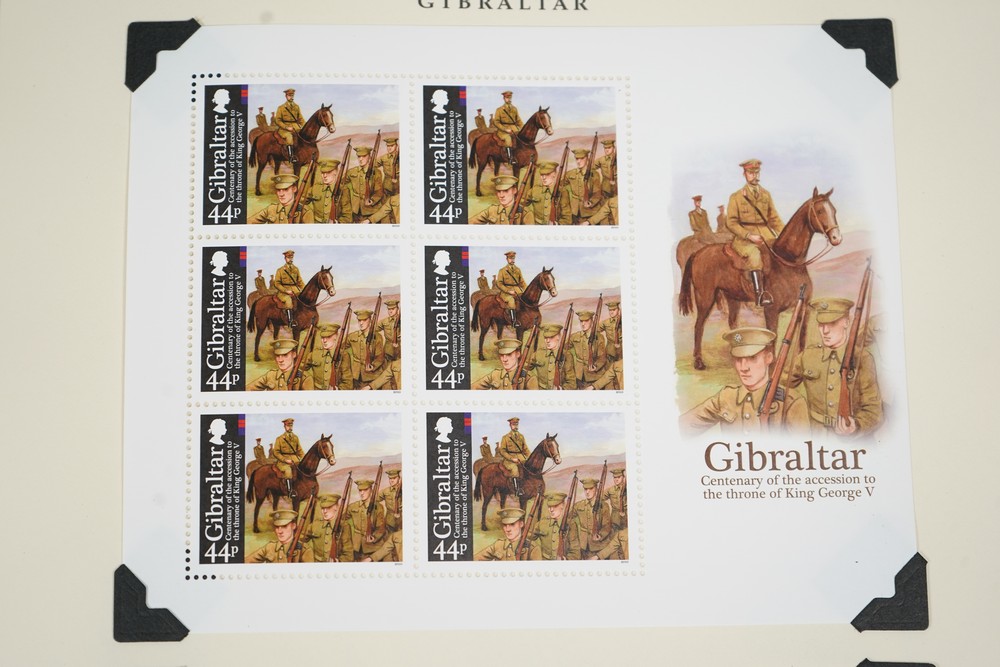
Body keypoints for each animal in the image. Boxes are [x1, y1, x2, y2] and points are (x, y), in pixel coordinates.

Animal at [678, 188, 842, 371]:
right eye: (820, 211)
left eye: (834, 211)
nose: (837, 238)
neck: (788, 262)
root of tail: (698, 253)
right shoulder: (771, 311)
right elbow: (773, 338)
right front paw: (772, 369)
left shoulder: (804, 309)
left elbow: (802, 338)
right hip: (705, 298)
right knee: (699, 325)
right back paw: (699, 361)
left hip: (733, 298)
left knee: (732, 322)